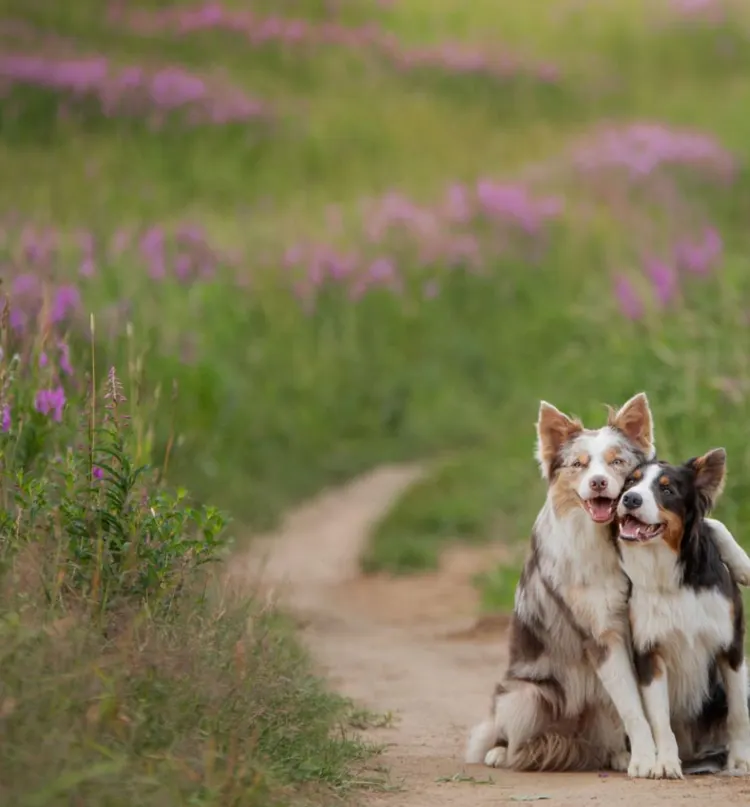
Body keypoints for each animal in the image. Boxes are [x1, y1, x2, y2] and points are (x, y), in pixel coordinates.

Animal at [616, 452, 750, 780]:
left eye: (667, 490)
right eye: (630, 482)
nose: (630, 499)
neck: (671, 576)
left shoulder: (731, 645)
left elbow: (739, 711)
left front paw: (740, 760)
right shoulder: (649, 653)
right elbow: (660, 719)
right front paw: (665, 763)